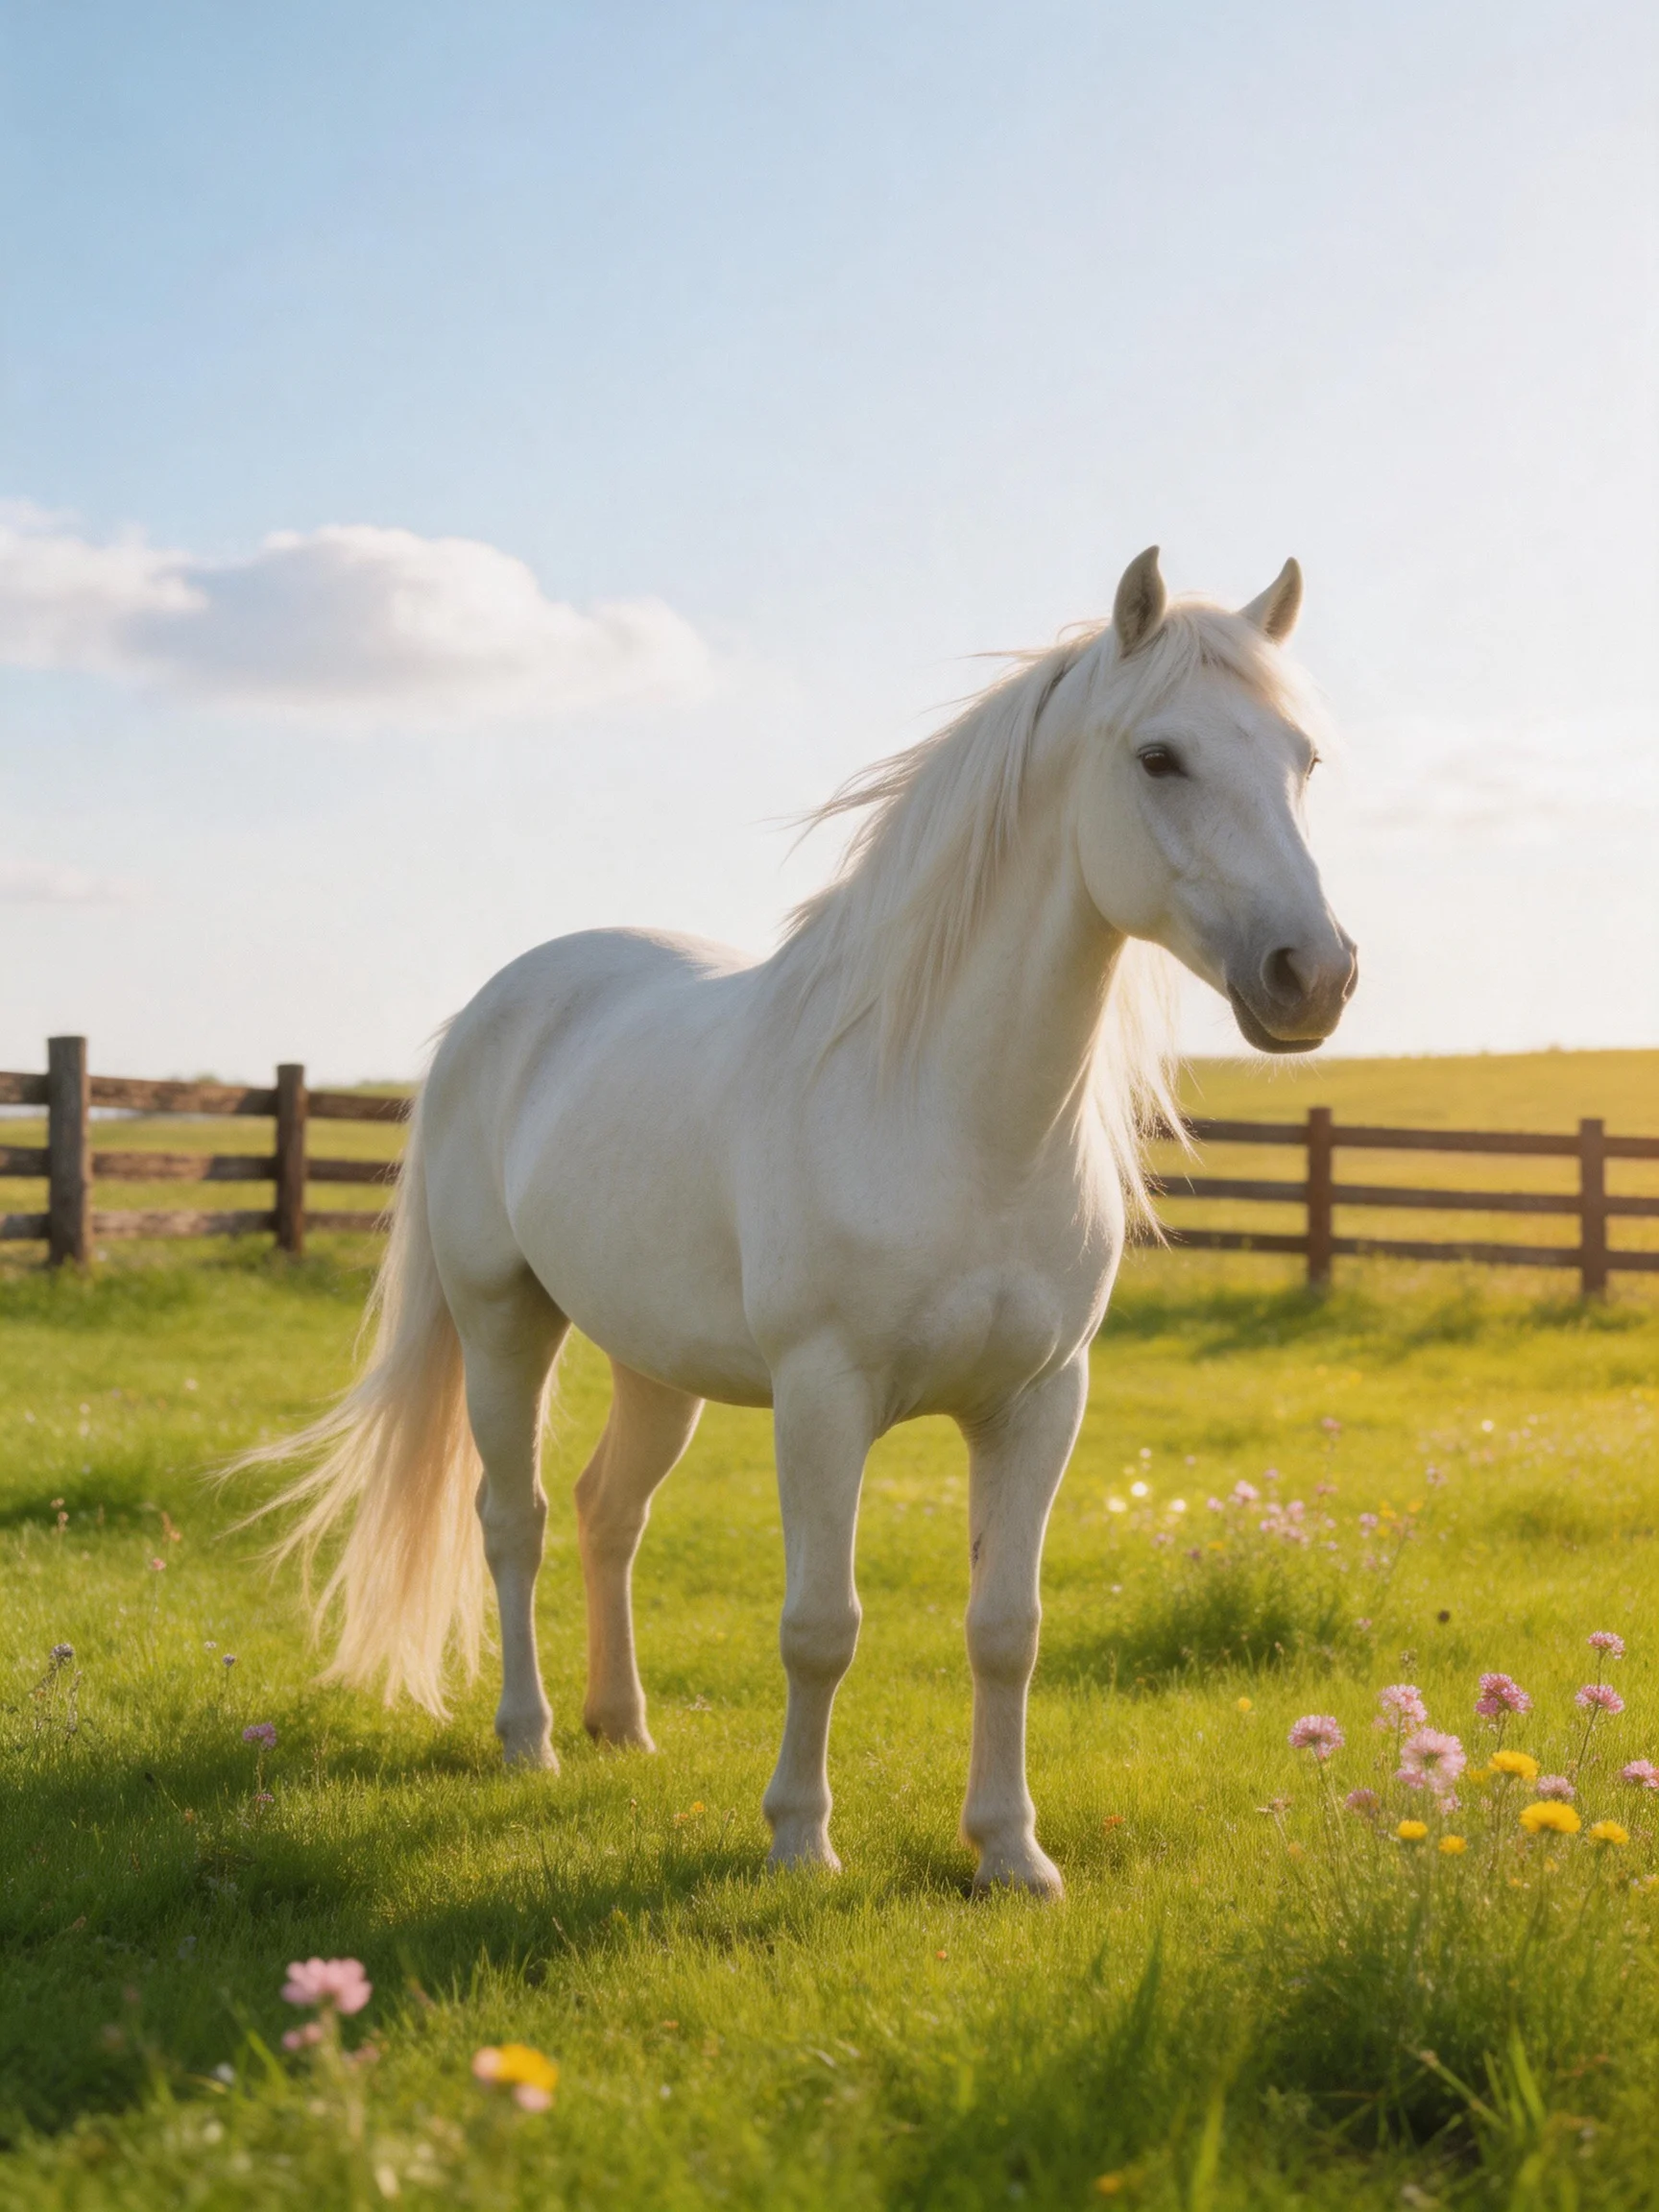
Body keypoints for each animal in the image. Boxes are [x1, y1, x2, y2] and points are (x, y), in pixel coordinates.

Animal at [248, 546, 1356, 1897]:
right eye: (1160, 757)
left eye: (1304, 759)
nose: (1314, 975)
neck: (943, 1108)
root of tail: (498, 1006)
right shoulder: (825, 1398)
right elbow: (822, 1627)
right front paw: (798, 1841)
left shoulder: (1041, 1401)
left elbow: (1007, 1629)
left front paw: (1011, 1853)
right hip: (504, 1321)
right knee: (516, 1521)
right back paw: (532, 1740)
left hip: (653, 1362)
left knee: (612, 1512)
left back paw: (624, 1725)